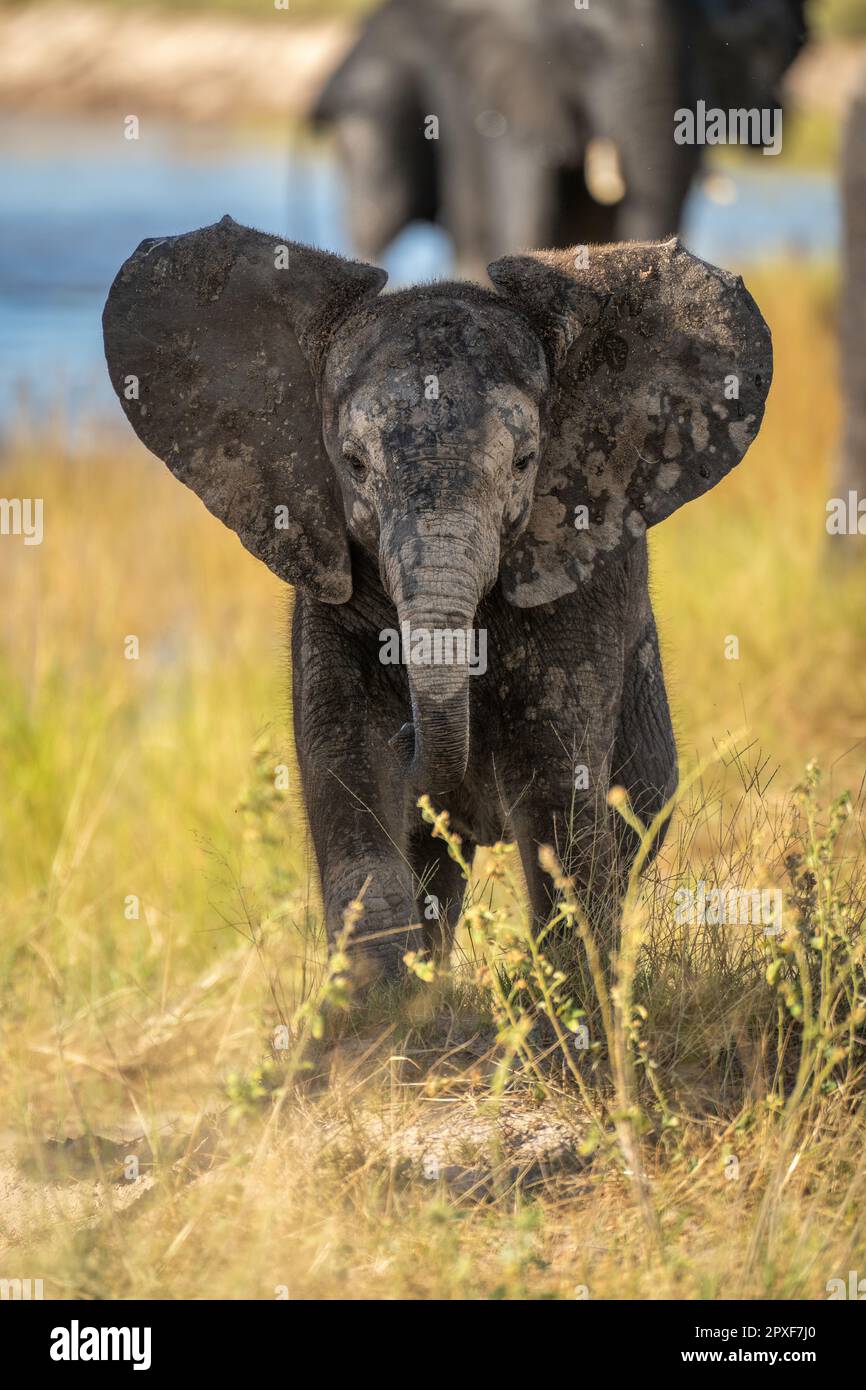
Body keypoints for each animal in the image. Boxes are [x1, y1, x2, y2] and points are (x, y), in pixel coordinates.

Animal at [103, 217, 772, 988]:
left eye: (524, 463)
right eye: (354, 465)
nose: (417, 737)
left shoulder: (577, 582)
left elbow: (558, 788)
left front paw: (565, 1003)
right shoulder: (331, 589)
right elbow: (348, 766)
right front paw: (380, 1004)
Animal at [313, 0, 808, 277]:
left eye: (714, 44)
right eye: (584, 46)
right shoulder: (514, 85)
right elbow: (526, 222)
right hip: (377, 110)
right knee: (379, 218)